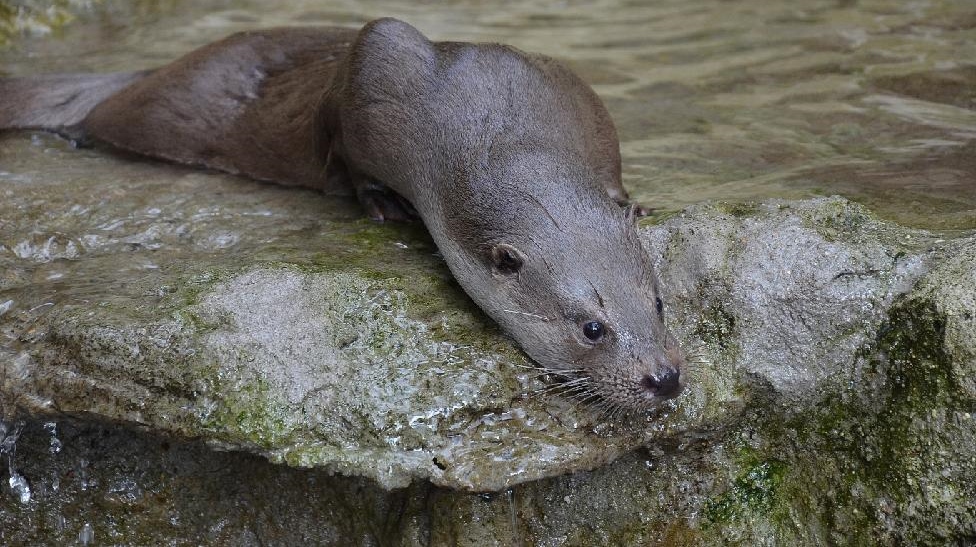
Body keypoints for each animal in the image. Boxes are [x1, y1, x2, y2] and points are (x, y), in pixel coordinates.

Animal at [0, 16, 688, 412]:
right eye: (591, 328)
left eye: (658, 303)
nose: (663, 378)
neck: (499, 122)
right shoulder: (374, 69)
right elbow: (344, 150)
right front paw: (383, 202)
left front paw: (634, 199)